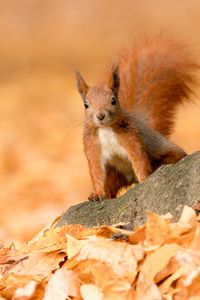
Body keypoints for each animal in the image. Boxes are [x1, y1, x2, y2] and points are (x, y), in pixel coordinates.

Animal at [74, 38, 198, 202]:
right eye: (86, 104)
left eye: (113, 100)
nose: (100, 116)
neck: (106, 129)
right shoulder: (92, 147)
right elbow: (96, 172)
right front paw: (97, 193)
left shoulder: (132, 138)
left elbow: (140, 160)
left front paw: (145, 180)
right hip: (114, 173)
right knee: (110, 186)